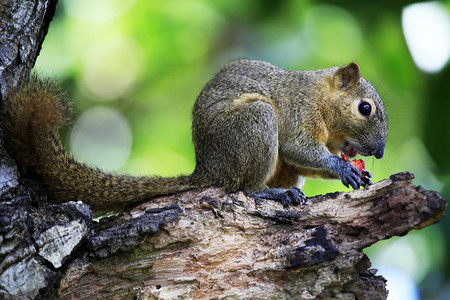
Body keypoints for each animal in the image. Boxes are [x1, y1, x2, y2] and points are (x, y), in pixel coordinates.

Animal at [4, 59, 386, 213]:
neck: (320, 97)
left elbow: (307, 163)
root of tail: (208, 170)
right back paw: (272, 193)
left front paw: (360, 172)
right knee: (243, 187)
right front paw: (343, 168)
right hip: (255, 123)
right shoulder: (297, 112)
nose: (380, 153)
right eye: (364, 108)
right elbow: (298, 148)